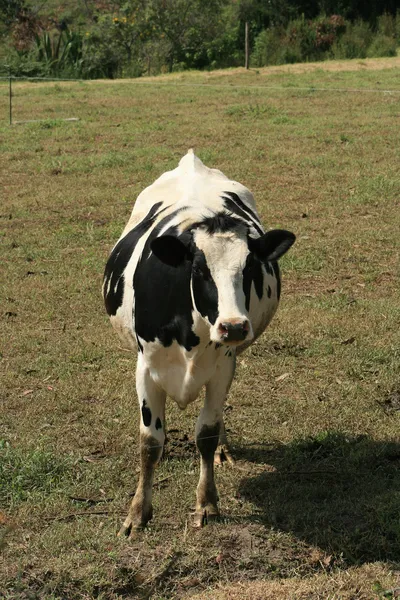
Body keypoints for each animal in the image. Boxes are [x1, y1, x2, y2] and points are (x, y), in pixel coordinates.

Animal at [103, 151, 296, 540]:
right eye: (199, 269)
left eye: (250, 267)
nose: (233, 326)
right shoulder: (145, 368)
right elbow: (149, 442)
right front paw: (137, 513)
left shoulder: (222, 367)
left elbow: (205, 433)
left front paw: (206, 502)